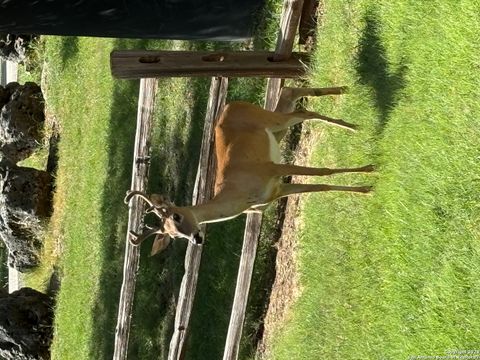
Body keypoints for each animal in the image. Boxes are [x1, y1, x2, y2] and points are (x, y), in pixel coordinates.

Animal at [125, 86, 374, 256]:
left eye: (177, 216)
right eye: (173, 235)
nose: (196, 238)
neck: (241, 194)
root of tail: (229, 105)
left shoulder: (271, 168)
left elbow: (323, 172)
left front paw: (370, 171)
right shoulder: (276, 190)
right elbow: (320, 186)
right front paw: (366, 187)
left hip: (272, 123)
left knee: (303, 110)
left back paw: (353, 123)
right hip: (276, 129)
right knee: (290, 94)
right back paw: (344, 95)